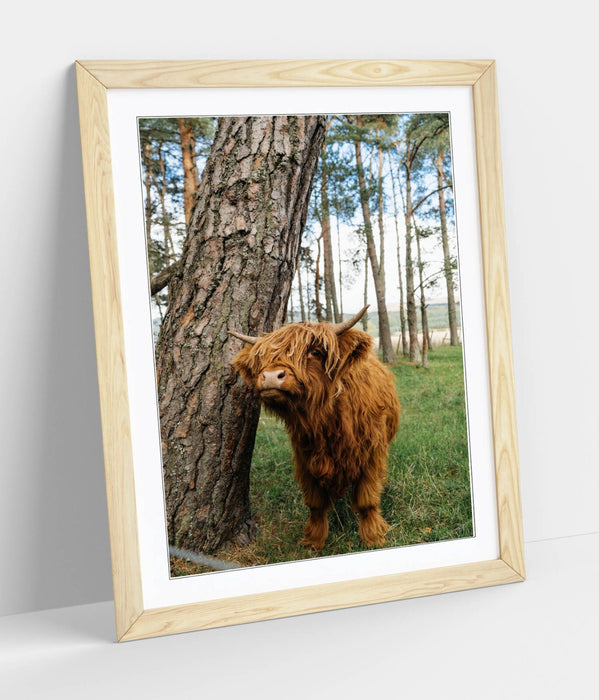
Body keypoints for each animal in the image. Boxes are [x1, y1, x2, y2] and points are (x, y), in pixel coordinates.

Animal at [230, 306, 401, 550]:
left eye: (316, 352)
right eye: (263, 357)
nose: (271, 376)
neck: (325, 420)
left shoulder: (371, 455)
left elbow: (367, 500)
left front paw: (373, 537)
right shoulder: (305, 458)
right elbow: (316, 503)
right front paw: (314, 540)